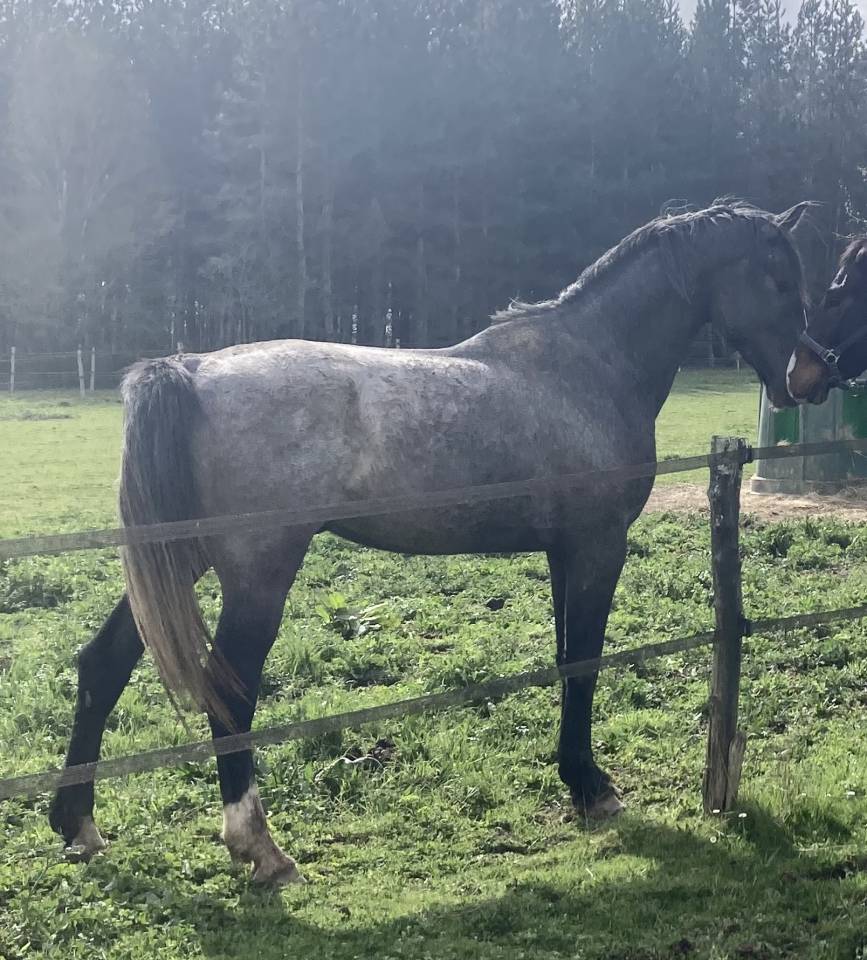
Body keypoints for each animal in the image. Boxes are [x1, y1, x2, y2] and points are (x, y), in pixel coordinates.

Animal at [49, 201, 812, 886]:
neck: (586, 365)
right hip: (256, 574)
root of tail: (192, 369)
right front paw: (592, 787)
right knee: (229, 694)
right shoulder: (599, 549)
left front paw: (576, 779)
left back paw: (77, 825)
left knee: (103, 664)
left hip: (180, 559)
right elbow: (586, 664)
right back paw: (262, 850)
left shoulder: (563, 553)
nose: (813, 373)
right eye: (778, 279)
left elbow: (567, 660)